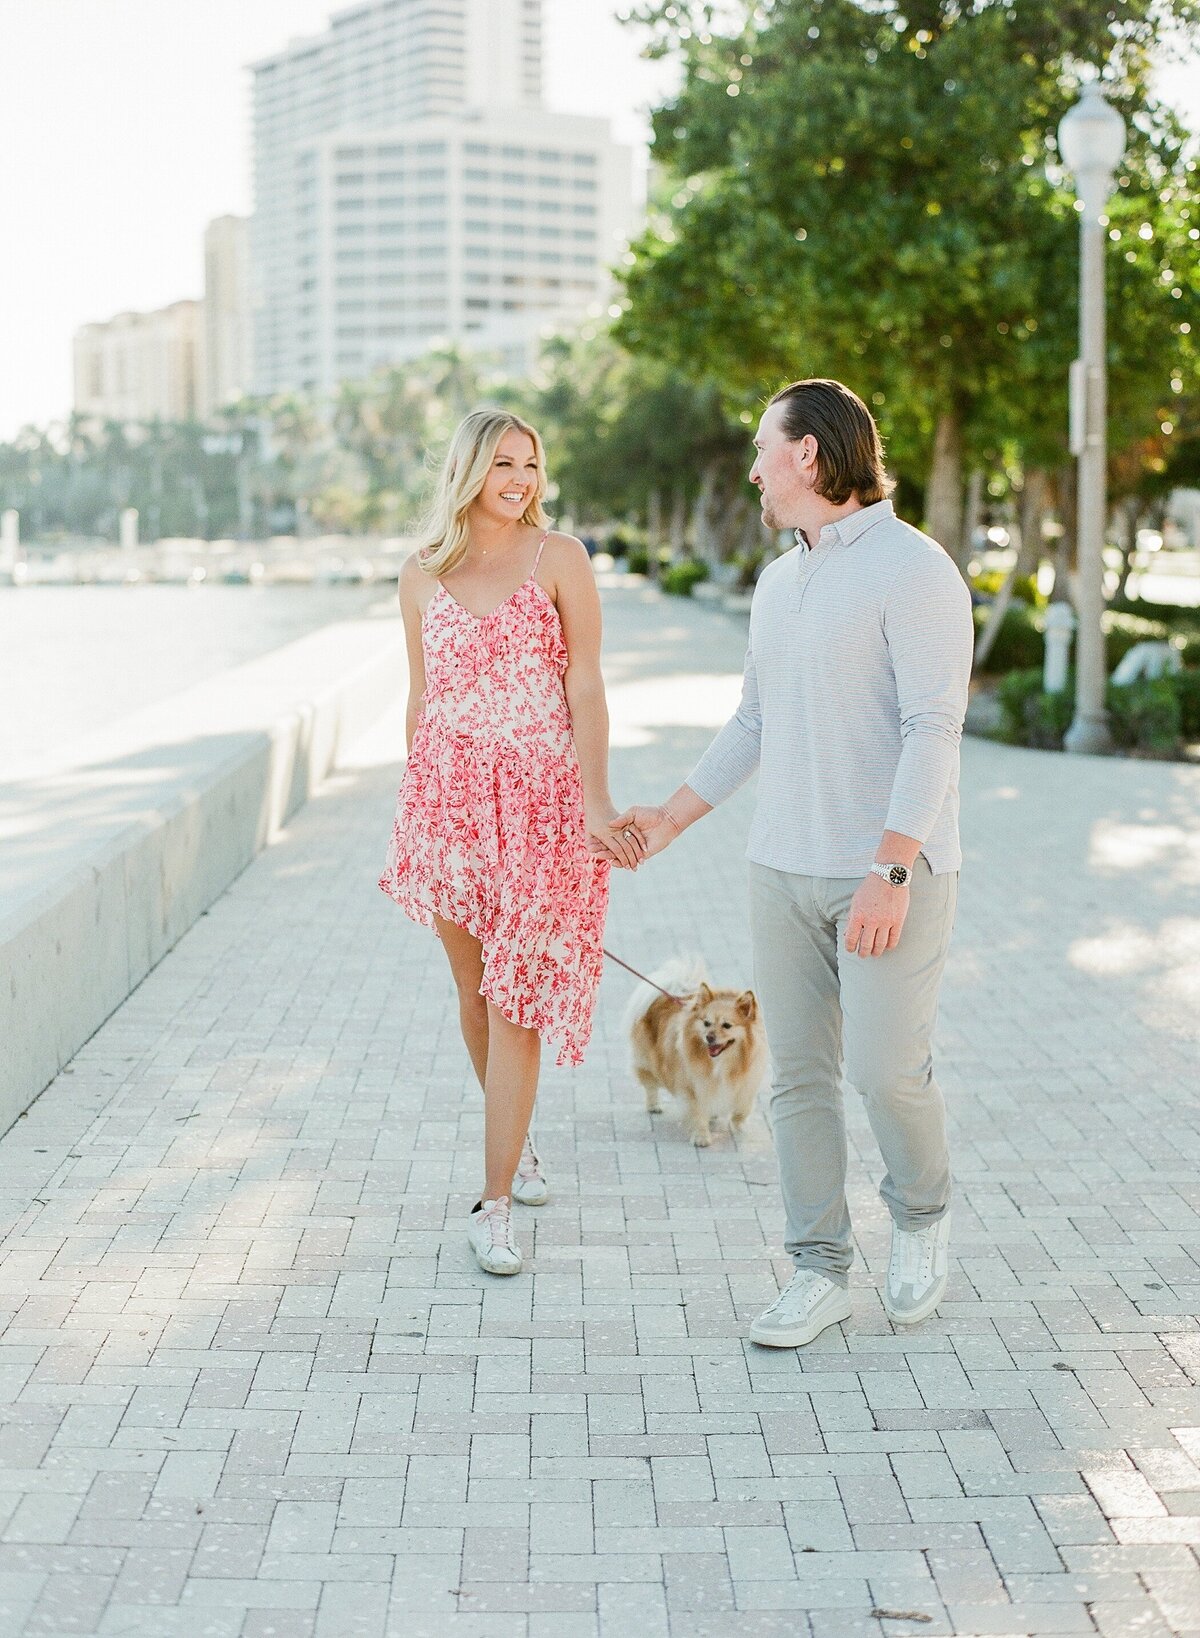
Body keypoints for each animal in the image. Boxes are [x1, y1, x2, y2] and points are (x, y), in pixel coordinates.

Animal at [628, 956, 766, 1146]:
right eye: (706, 1023)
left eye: (727, 1025)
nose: (709, 1037)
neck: (722, 1063)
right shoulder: (692, 1086)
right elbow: (698, 1113)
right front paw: (701, 1137)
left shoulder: (746, 1083)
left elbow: (743, 1107)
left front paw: (739, 1126)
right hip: (648, 1062)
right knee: (650, 1085)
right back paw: (653, 1105)